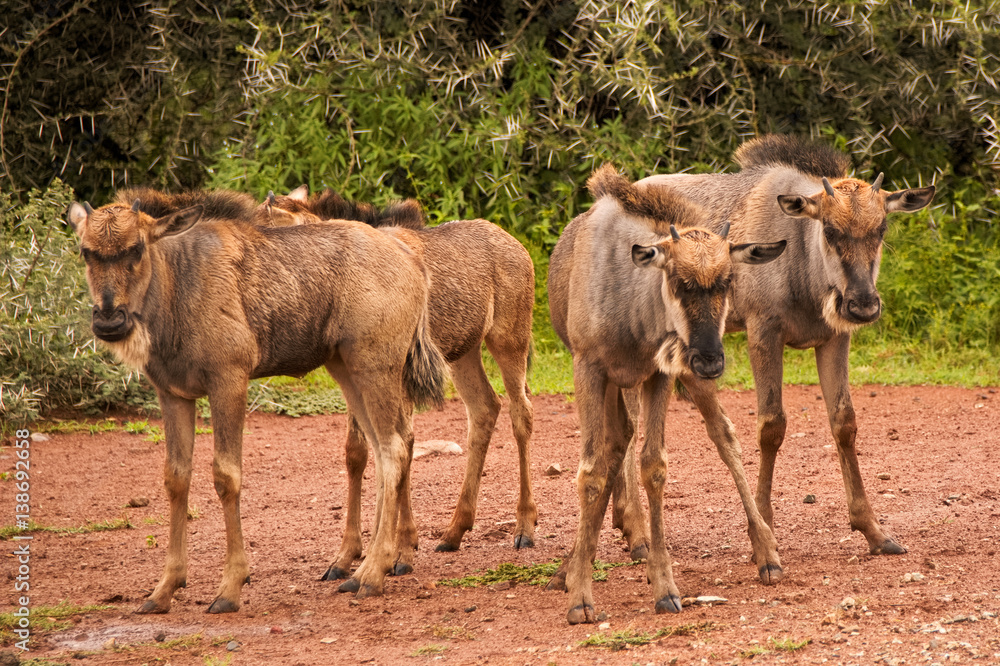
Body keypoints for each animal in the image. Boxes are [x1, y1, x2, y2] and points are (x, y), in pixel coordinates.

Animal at [66, 197, 446, 611]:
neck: (174, 292)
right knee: (381, 448)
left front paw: (230, 587)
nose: (108, 320)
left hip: (376, 366)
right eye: (86, 251)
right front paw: (164, 588)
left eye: (136, 248)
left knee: (394, 448)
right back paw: (361, 569)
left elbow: (226, 476)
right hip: (346, 368)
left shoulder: (229, 379)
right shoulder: (172, 393)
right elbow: (176, 479)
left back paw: (375, 572)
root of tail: (413, 261)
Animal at [546, 164, 786, 623]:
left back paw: (767, 552)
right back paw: (575, 562)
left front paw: (664, 587)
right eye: (677, 280)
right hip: (624, 383)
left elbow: (653, 466)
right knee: (615, 443)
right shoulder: (589, 368)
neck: (630, 305)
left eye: (727, 281)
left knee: (723, 434)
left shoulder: (658, 373)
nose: (710, 359)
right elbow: (592, 471)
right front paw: (580, 594)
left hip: (679, 377)